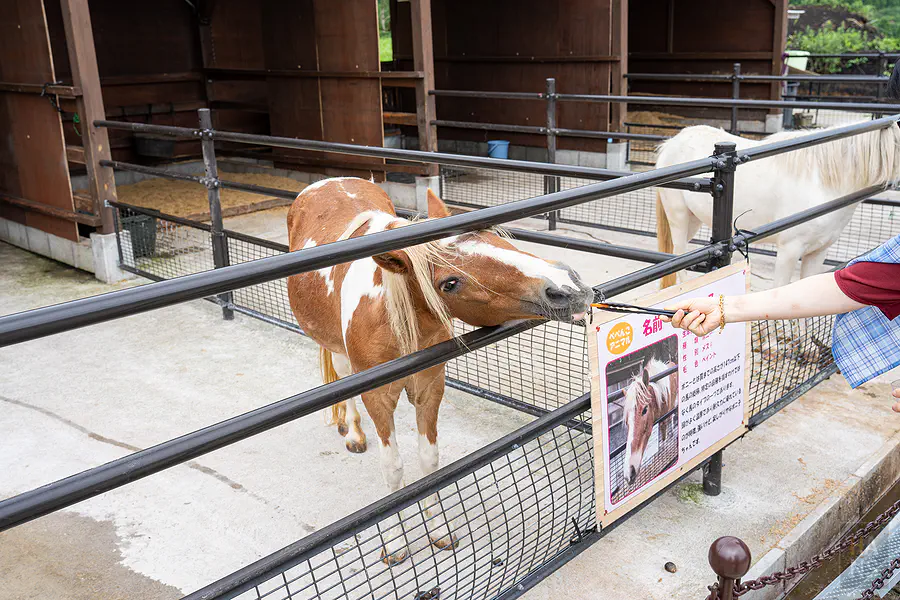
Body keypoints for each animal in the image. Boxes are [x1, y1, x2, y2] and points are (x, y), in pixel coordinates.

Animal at [286, 177, 593, 565]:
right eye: (450, 283)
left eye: (496, 239)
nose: (568, 287)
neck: (391, 315)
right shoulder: (378, 398)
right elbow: (393, 468)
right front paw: (396, 544)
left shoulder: (430, 387)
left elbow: (429, 461)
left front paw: (439, 531)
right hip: (337, 350)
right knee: (342, 376)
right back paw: (354, 433)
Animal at [655, 121, 900, 288]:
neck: (823, 183)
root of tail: (671, 143)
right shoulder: (789, 251)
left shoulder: (818, 252)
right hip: (678, 217)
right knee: (678, 257)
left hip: (693, 220)